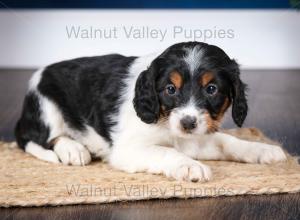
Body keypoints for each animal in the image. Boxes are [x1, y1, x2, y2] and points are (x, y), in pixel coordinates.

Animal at [15, 41, 288, 182]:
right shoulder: (128, 149)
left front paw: (263, 150)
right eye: (170, 89)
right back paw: (73, 149)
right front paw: (190, 167)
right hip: (46, 106)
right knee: (43, 138)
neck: (166, 124)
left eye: (211, 89)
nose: (188, 123)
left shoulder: (197, 137)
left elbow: (227, 141)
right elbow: (165, 151)